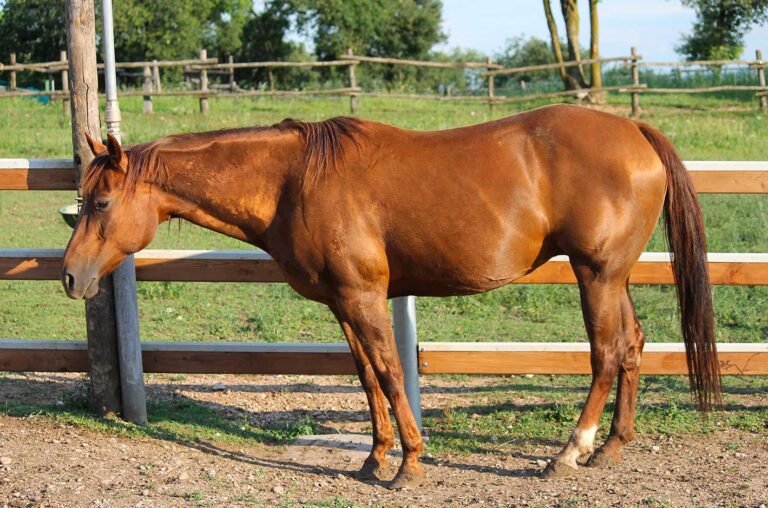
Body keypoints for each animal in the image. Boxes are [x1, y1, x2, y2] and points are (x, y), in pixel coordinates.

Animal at [61, 104, 721, 488]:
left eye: (101, 202)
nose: (70, 277)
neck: (295, 181)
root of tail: (634, 129)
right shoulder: (342, 302)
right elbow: (366, 375)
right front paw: (374, 458)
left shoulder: (365, 296)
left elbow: (390, 370)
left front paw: (408, 463)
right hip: (614, 277)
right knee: (633, 345)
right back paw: (612, 447)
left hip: (596, 275)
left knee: (607, 353)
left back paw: (569, 453)